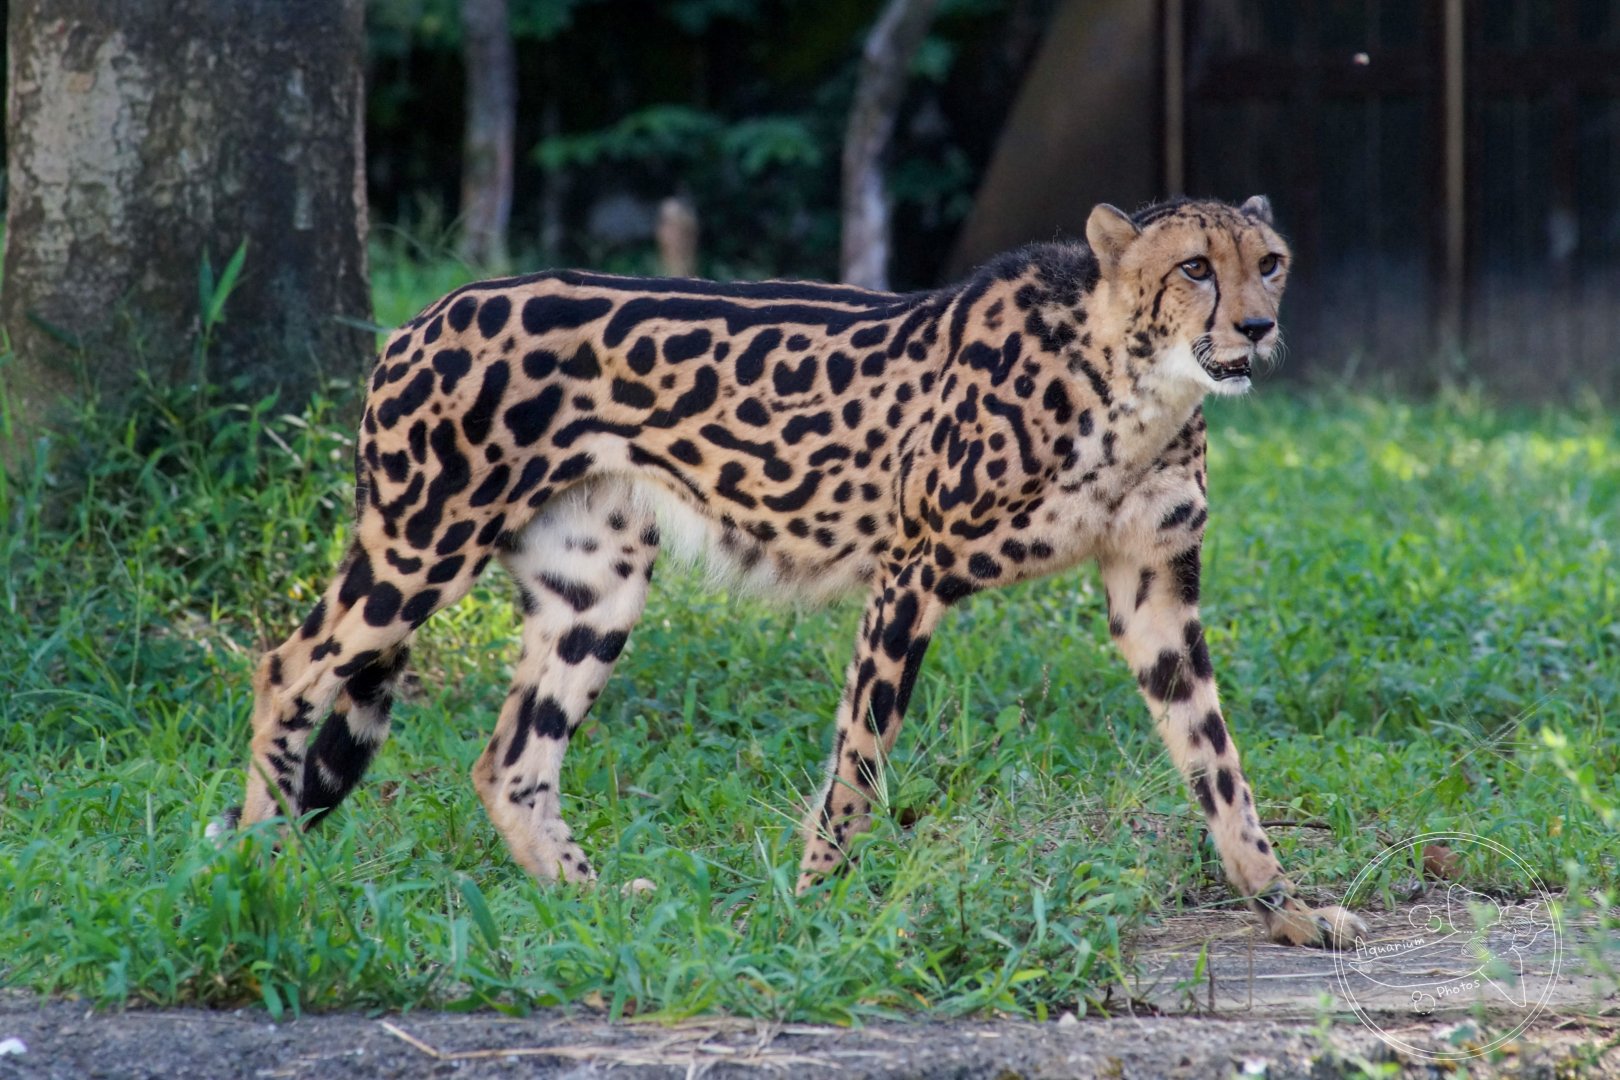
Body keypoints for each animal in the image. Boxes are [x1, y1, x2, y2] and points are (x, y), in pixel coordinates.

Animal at [219, 194, 1367, 948]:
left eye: (1269, 260)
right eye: (1195, 268)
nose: (1257, 327)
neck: (1130, 381)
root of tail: (422, 315)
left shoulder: (1153, 594)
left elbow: (1220, 767)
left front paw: (1286, 906)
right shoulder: (913, 570)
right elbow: (857, 765)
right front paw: (820, 907)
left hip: (597, 582)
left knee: (509, 761)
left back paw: (598, 905)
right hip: (421, 545)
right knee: (287, 665)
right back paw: (262, 862)